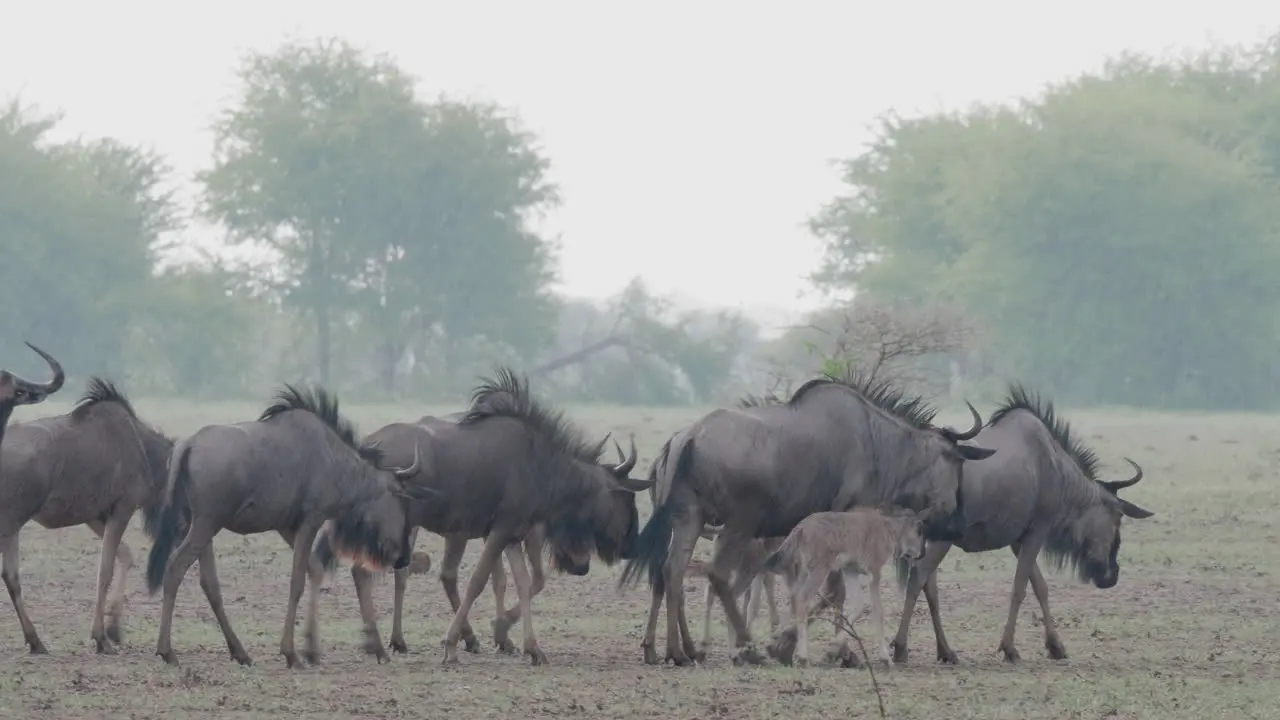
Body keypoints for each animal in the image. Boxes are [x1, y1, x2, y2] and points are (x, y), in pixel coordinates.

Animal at [762, 507, 926, 666]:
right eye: (919, 532)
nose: (922, 553)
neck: (889, 529)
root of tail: (801, 527)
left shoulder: (850, 570)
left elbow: (859, 605)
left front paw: (834, 646)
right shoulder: (875, 573)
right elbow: (878, 611)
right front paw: (885, 658)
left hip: (803, 572)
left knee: (793, 597)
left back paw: (775, 641)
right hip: (819, 570)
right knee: (802, 599)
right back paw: (803, 657)